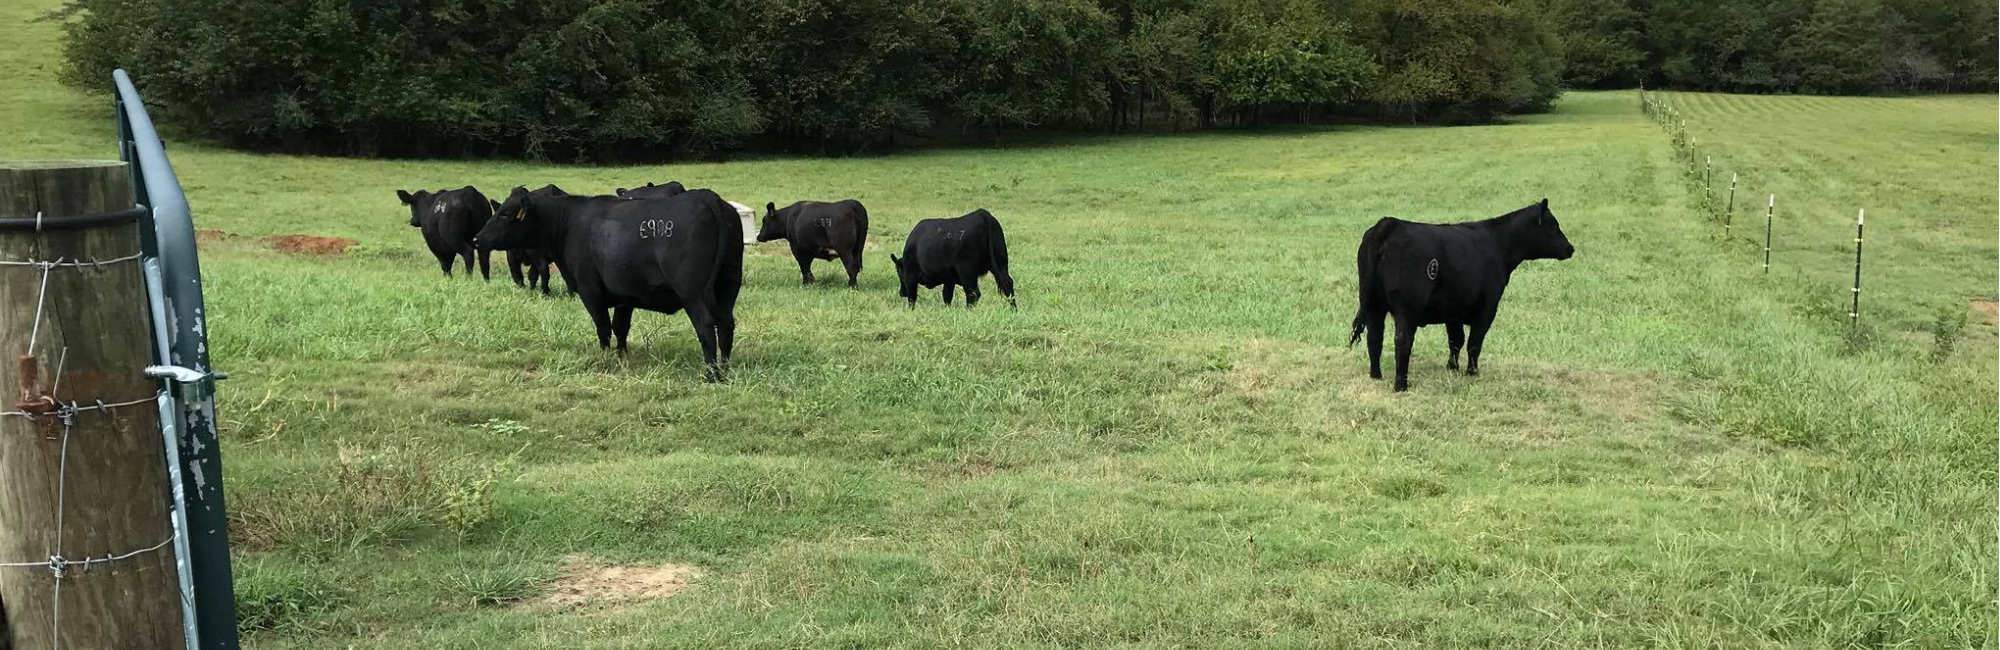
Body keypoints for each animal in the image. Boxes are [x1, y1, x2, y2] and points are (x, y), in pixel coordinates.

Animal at [474, 185, 744, 382]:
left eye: (505, 214)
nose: (477, 239)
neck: (568, 222)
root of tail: (708, 197)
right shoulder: (626, 295)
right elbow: (620, 327)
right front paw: (621, 356)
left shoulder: (589, 288)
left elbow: (602, 326)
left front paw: (605, 357)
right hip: (729, 284)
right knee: (726, 324)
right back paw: (725, 368)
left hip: (692, 292)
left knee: (706, 325)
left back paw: (711, 374)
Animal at [1352, 197, 1568, 390]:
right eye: (1554, 225)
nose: (1570, 248)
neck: (1498, 244)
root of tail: (1390, 223)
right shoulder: (1487, 308)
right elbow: (1474, 342)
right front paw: (1472, 372)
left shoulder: (1452, 310)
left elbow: (1456, 340)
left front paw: (1452, 367)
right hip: (1407, 309)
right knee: (1402, 340)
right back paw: (1401, 385)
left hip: (1372, 304)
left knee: (1375, 337)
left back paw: (1376, 375)